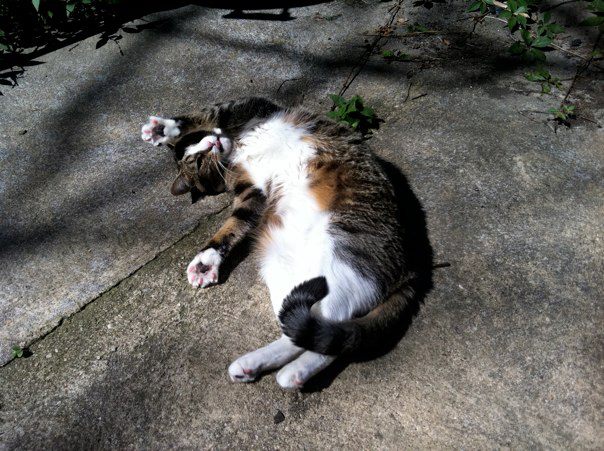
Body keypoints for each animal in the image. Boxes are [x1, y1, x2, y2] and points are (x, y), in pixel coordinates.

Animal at [142, 99, 416, 392]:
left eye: (199, 150)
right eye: (199, 161)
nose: (212, 142)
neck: (234, 147)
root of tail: (408, 271)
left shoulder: (252, 107)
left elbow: (211, 113)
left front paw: (161, 130)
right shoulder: (251, 194)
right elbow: (233, 225)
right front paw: (207, 260)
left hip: (343, 252)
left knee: (332, 323)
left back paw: (291, 372)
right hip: (283, 271)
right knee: (302, 327)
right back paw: (260, 367)